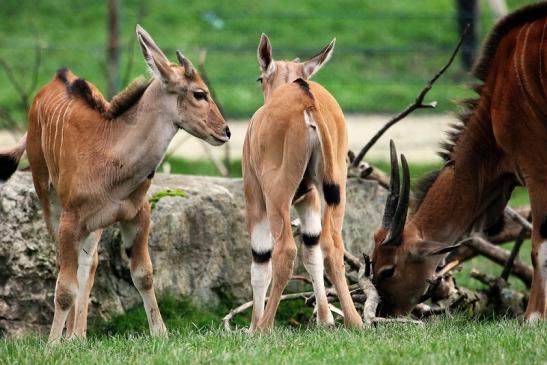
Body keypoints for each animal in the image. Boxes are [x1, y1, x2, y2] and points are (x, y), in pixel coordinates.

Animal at [0, 24, 230, 338]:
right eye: (199, 93)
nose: (226, 131)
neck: (111, 157)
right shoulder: (71, 220)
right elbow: (65, 287)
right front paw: (52, 342)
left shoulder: (137, 214)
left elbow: (143, 275)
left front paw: (160, 334)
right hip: (47, 195)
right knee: (66, 264)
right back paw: (67, 336)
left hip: (92, 225)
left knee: (89, 263)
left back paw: (77, 336)